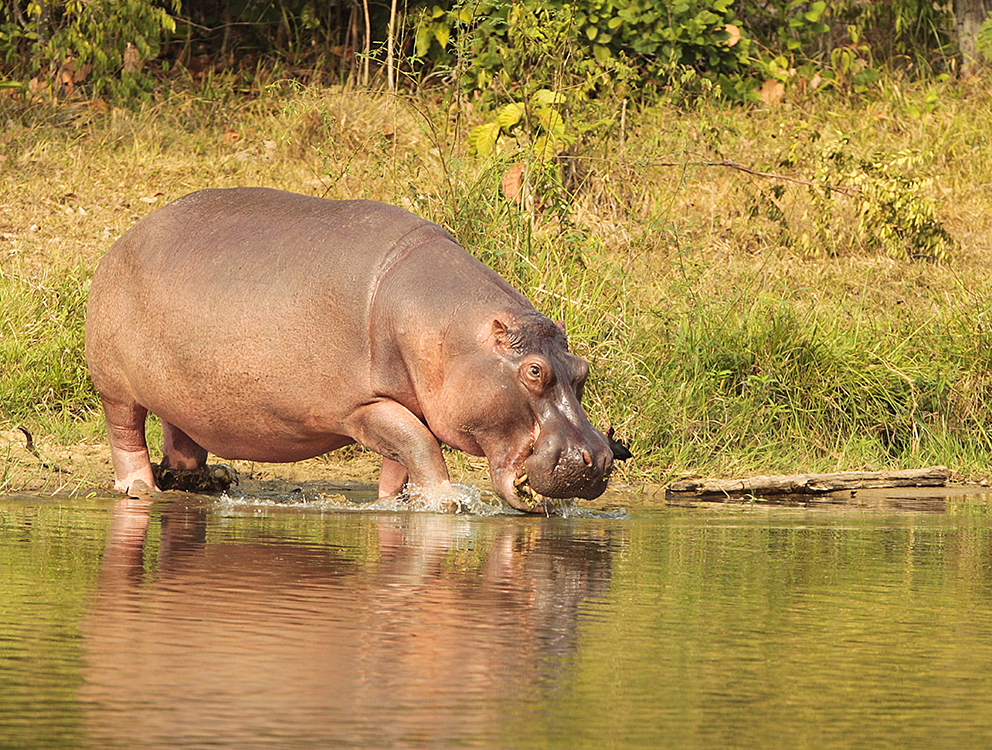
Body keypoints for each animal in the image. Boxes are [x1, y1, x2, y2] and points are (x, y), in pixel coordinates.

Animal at [83, 189, 612, 516]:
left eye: (582, 370)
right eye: (534, 371)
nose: (602, 459)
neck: (450, 333)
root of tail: (125, 237)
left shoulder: (407, 399)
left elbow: (404, 456)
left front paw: (397, 504)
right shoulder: (364, 405)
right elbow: (419, 444)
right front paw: (446, 502)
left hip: (185, 388)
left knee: (182, 436)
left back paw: (212, 479)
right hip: (114, 385)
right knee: (126, 432)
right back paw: (140, 488)